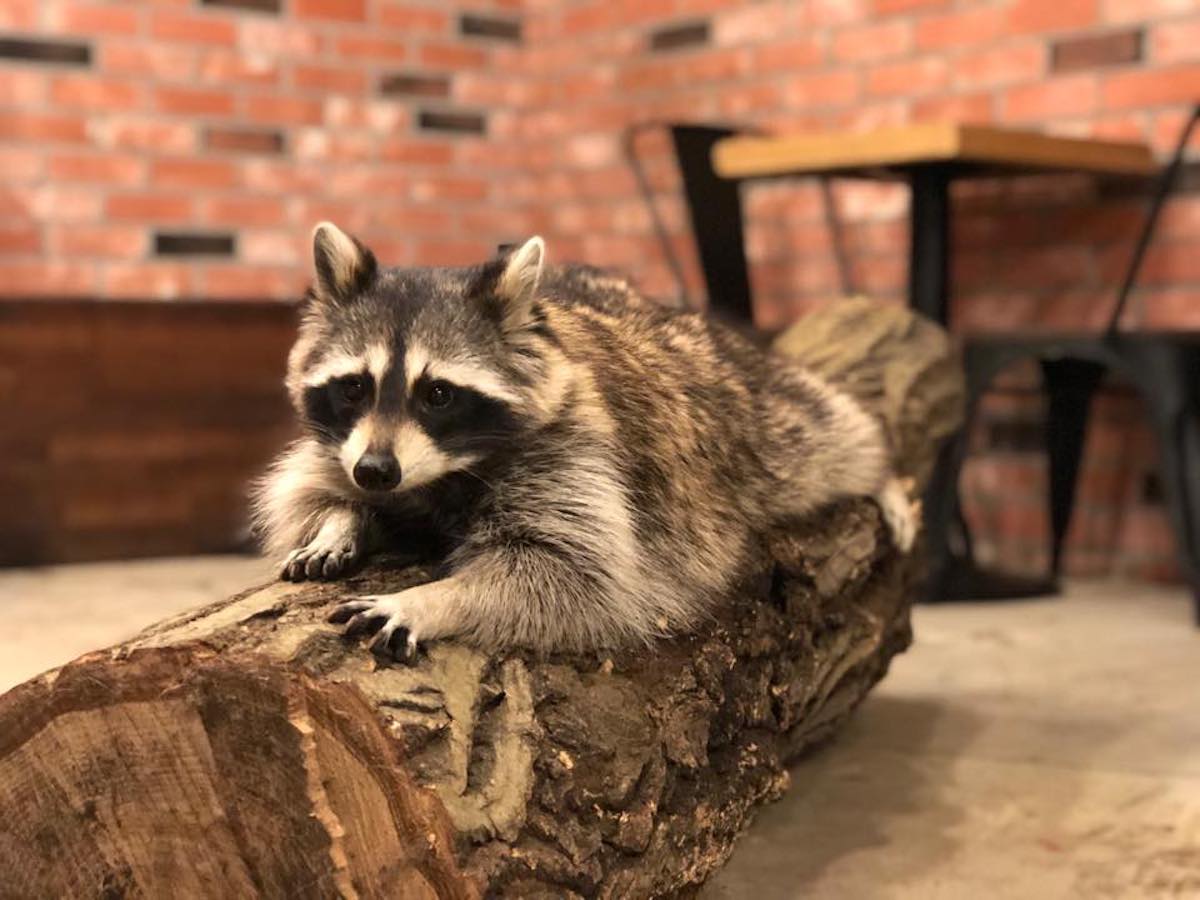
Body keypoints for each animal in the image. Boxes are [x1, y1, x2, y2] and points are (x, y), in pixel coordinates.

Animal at [252, 223, 918, 661]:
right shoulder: (343, 445)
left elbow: (573, 577)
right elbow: (303, 488)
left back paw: (880, 469)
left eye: (437, 394)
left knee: (828, 436)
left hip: (761, 422)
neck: (443, 470)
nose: (376, 473)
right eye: (354, 387)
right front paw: (339, 520)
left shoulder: (574, 450)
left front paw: (434, 598)